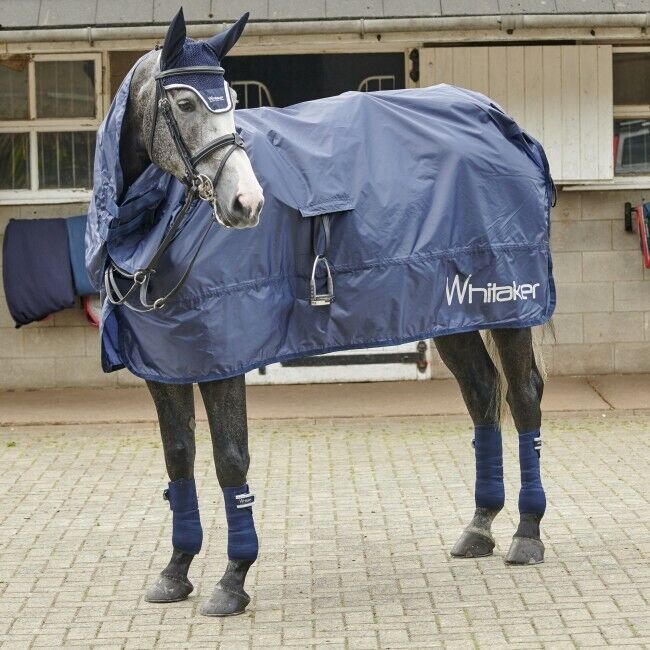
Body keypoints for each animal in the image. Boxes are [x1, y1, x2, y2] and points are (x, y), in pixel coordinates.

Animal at [89, 8, 550, 616]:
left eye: (230, 100)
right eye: (185, 103)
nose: (247, 203)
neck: (158, 228)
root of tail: (503, 123)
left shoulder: (222, 356)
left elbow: (230, 458)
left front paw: (232, 580)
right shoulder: (166, 363)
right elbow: (178, 458)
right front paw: (175, 570)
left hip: (509, 305)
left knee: (522, 397)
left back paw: (527, 534)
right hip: (452, 311)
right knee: (482, 394)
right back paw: (479, 527)